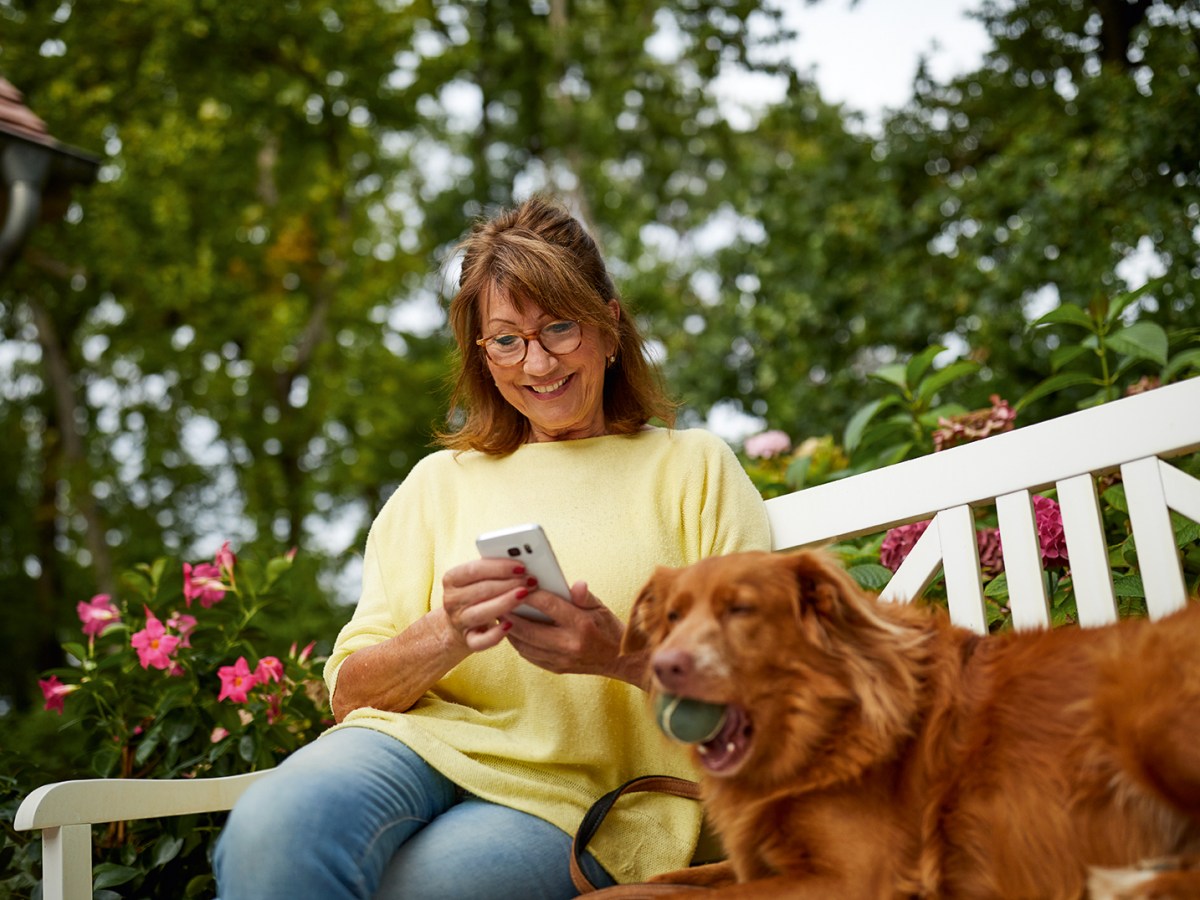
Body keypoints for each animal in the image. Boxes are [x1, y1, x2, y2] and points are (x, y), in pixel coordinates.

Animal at [619, 554, 1200, 897]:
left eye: (740, 609)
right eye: (672, 617)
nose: (664, 667)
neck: (824, 732)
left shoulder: (853, 876)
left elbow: (707, 895)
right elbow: (676, 878)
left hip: (1140, 707)